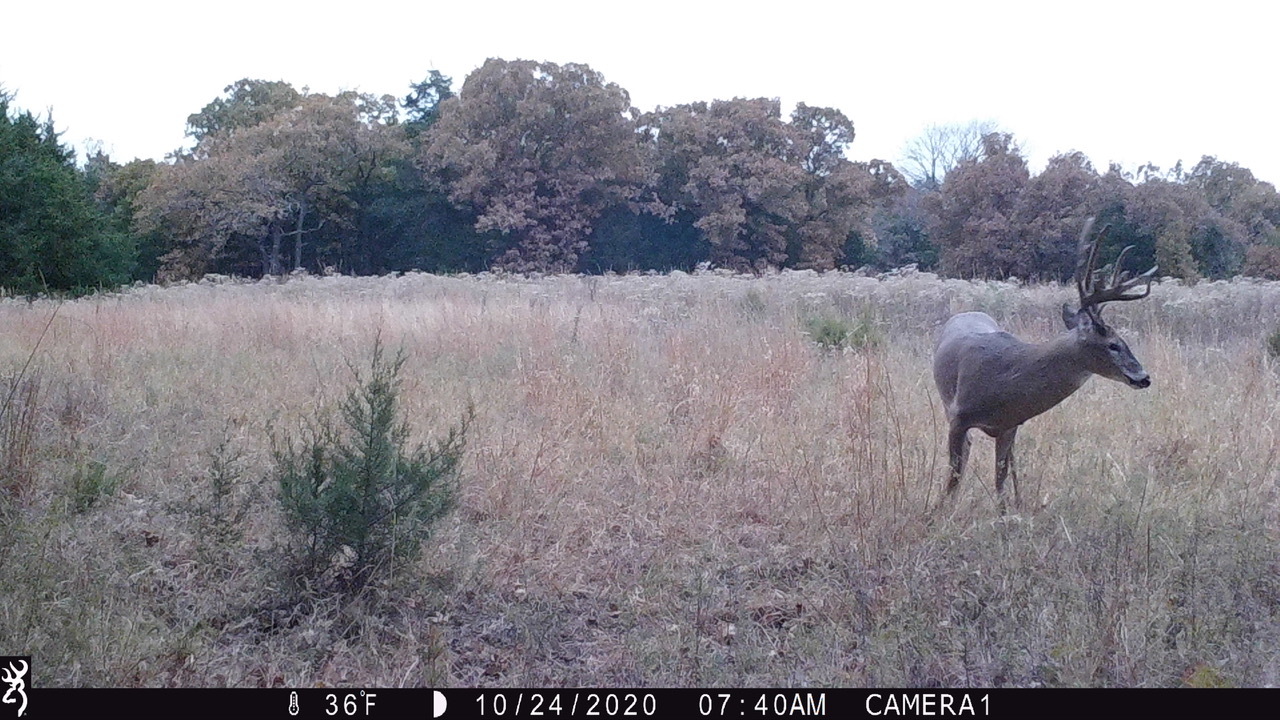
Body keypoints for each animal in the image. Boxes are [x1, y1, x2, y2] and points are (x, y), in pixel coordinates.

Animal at [931, 217, 1162, 504]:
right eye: (1113, 344)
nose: (1144, 377)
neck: (1004, 381)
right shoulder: (958, 417)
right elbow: (954, 475)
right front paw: (941, 509)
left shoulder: (1009, 425)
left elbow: (1000, 480)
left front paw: (1007, 511)